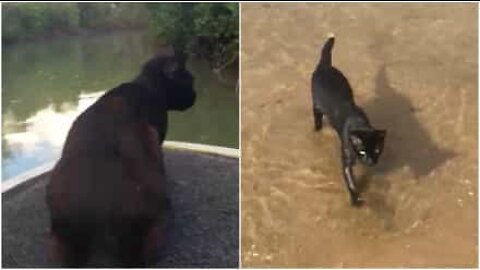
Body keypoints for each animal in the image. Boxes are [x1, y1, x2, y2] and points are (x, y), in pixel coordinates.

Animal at [312, 34, 386, 206]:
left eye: (377, 150)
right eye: (362, 151)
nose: (370, 161)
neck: (359, 123)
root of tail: (325, 66)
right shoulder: (346, 159)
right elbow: (350, 181)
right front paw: (355, 199)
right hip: (316, 104)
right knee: (317, 116)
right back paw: (317, 128)